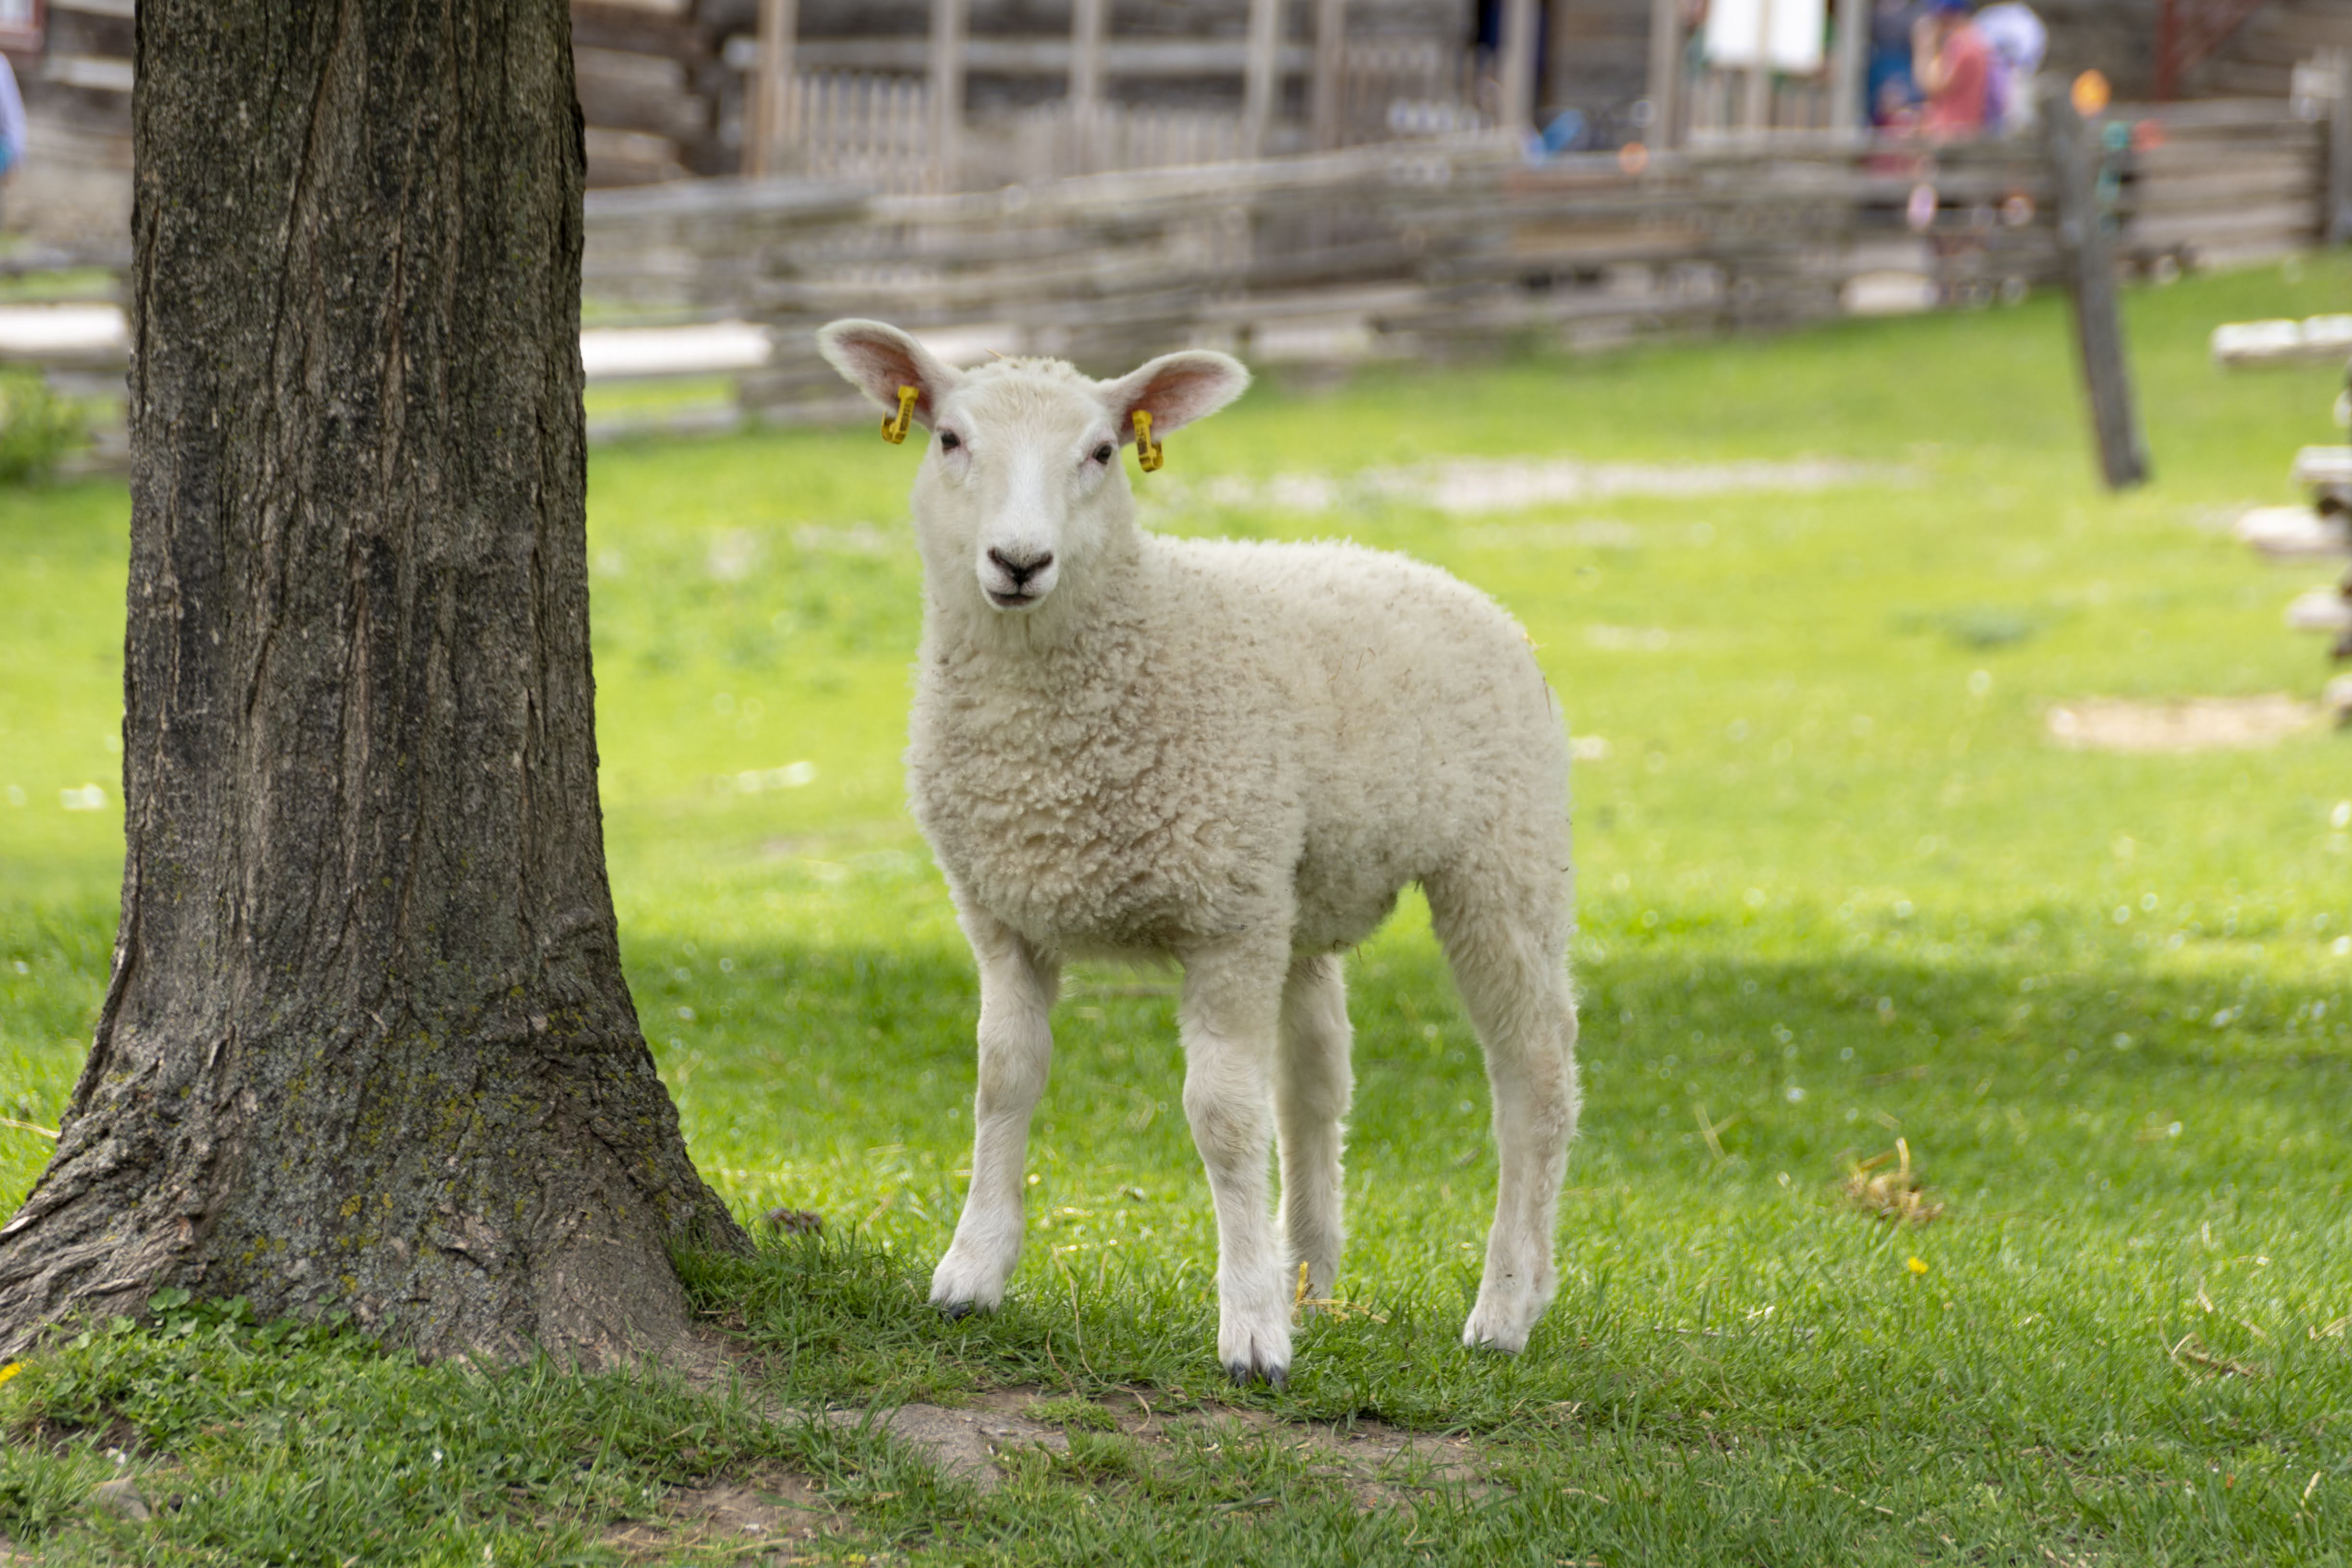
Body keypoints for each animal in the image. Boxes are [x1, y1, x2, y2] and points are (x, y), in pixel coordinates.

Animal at [816, 319, 1581, 1385]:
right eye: (949, 440)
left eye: (1100, 452)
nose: (1019, 561)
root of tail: (1426, 574)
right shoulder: (1002, 911)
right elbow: (1005, 1076)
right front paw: (971, 1272)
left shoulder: (1224, 920)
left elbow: (1221, 1116)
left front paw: (1251, 1330)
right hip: (1297, 890)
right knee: (1315, 1080)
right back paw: (1312, 1274)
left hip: (1498, 858)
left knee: (1532, 1076)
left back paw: (1506, 1303)